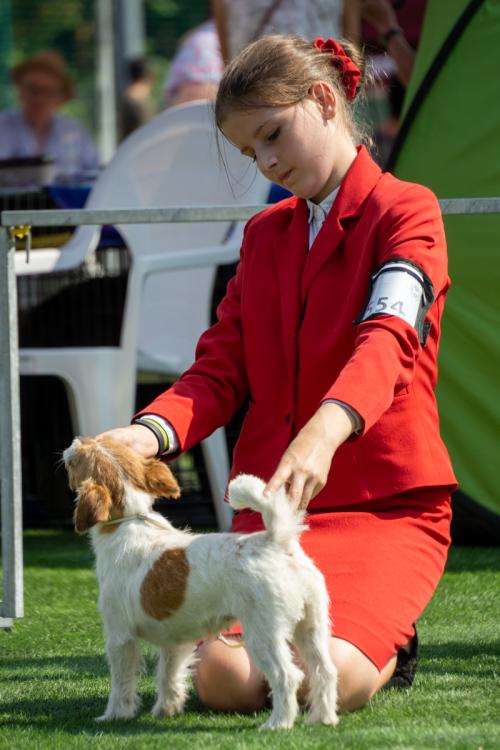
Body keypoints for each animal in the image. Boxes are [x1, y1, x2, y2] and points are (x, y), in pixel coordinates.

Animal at [63, 435, 338, 730]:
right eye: (103, 440)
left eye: (76, 459)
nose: (76, 440)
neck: (130, 520)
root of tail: (278, 541)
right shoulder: (174, 640)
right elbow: (169, 675)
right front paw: (166, 709)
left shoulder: (119, 637)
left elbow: (121, 682)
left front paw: (115, 714)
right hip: (311, 627)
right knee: (324, 670)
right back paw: (323, 718)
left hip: (264, 635)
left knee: (288, 676)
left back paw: (278, 723)